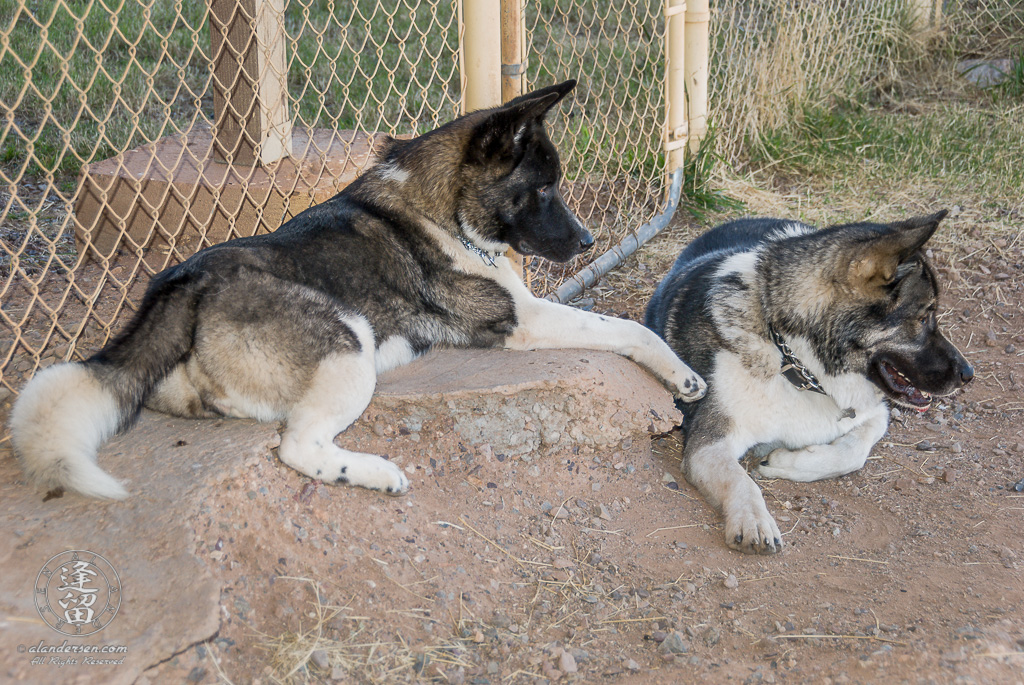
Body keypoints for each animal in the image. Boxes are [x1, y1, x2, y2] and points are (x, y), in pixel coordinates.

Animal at [12, 80, 708, 499]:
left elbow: (597, 312)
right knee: (296, 446)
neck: (443, 208)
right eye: (542, 188)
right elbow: (624, 327)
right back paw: (374, 472)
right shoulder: (520, 321)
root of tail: (181, 286)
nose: (588, 242)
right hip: (349, 341)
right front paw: (681, 375)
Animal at [647, 213, 974, 557]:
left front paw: (784, 461)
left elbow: (853, 452)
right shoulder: (709, 443)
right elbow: (739, 479)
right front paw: (754, 520)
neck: (793, 360)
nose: (968, 374)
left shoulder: (875, 413)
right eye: (924, 318)